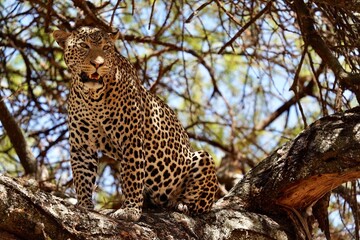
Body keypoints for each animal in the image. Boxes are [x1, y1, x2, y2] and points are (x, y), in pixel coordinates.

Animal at [52, 26, 218, 221]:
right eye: (84, 46)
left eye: (106, 48)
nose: (98, 64)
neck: (94, 98)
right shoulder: (82, 145)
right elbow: (82, 177)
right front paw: (84, 205)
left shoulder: (131, 140)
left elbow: (132, 176)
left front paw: (130, 210)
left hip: (203, 159)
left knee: (200, 205)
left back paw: (181, 204)